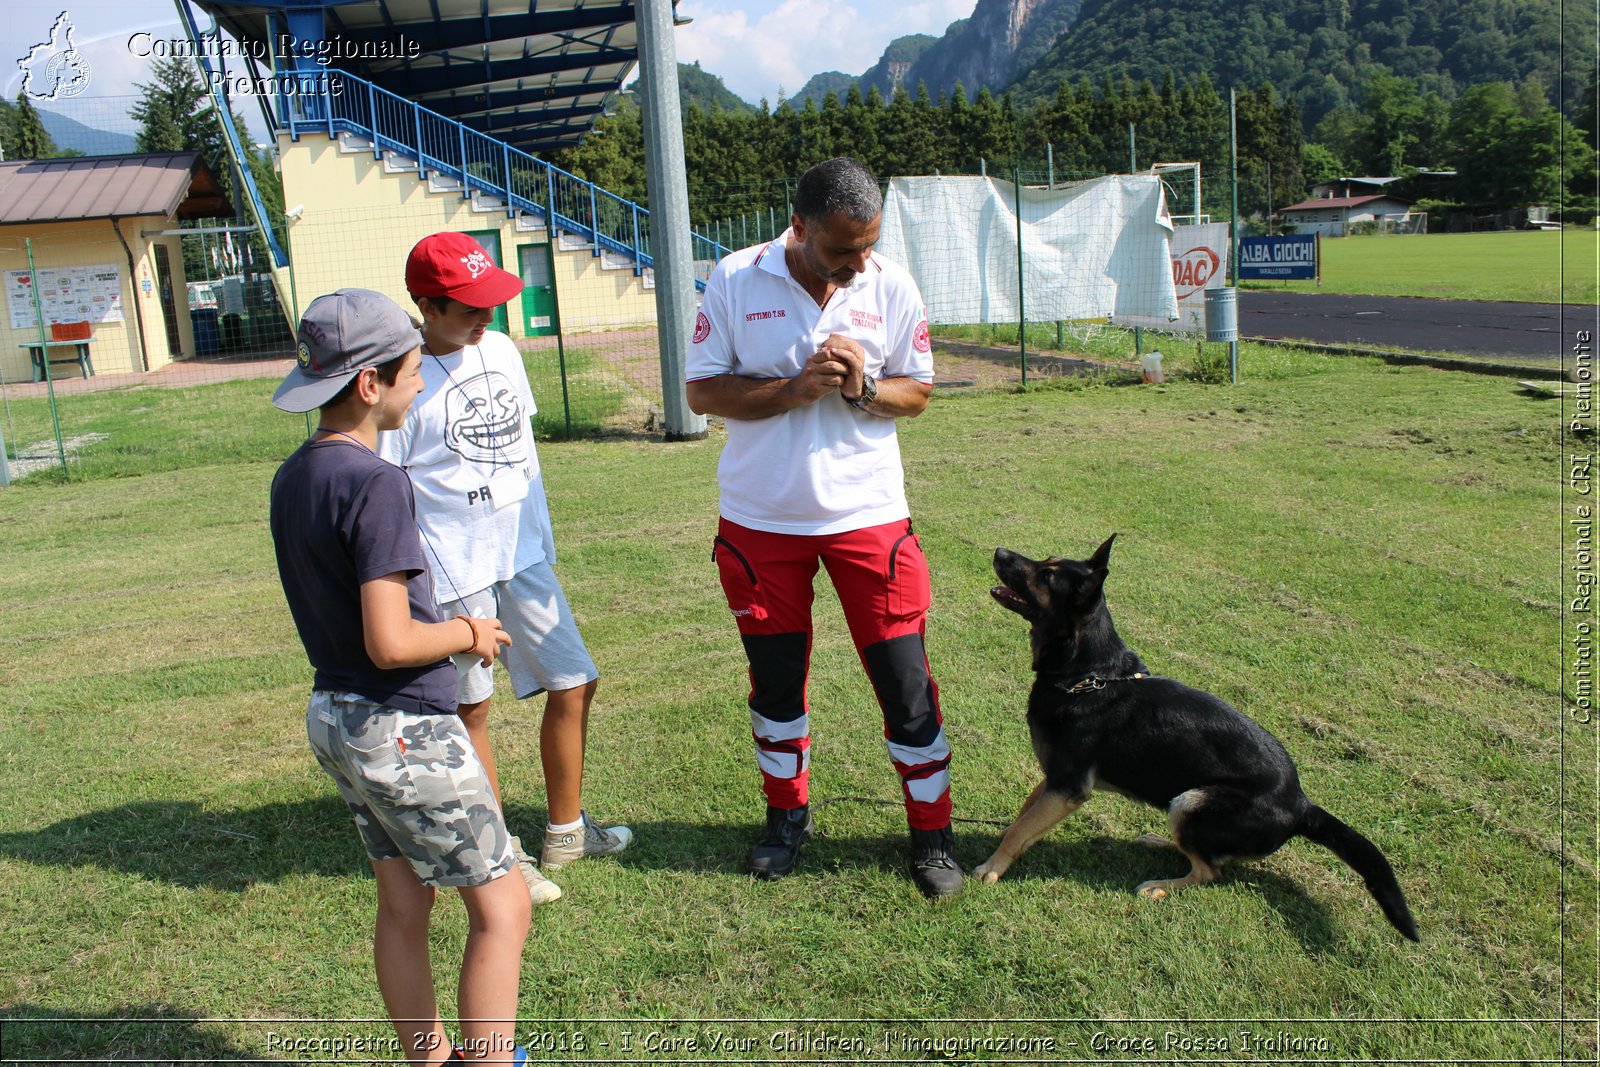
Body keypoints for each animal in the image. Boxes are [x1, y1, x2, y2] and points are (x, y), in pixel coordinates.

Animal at [972, 537, 1414, 940]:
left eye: (1047, 576)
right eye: (1046, 560)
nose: (999, 551)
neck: (1088, 676)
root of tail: (1302, 804)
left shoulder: (1068, 788)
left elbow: (1020, 830)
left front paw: (991, 868)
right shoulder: (1053, 779)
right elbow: (1023, 817)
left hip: (1192, 801)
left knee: (1209, 871)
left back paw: (1160, 886)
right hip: (1181, 805)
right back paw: (1156, 842)